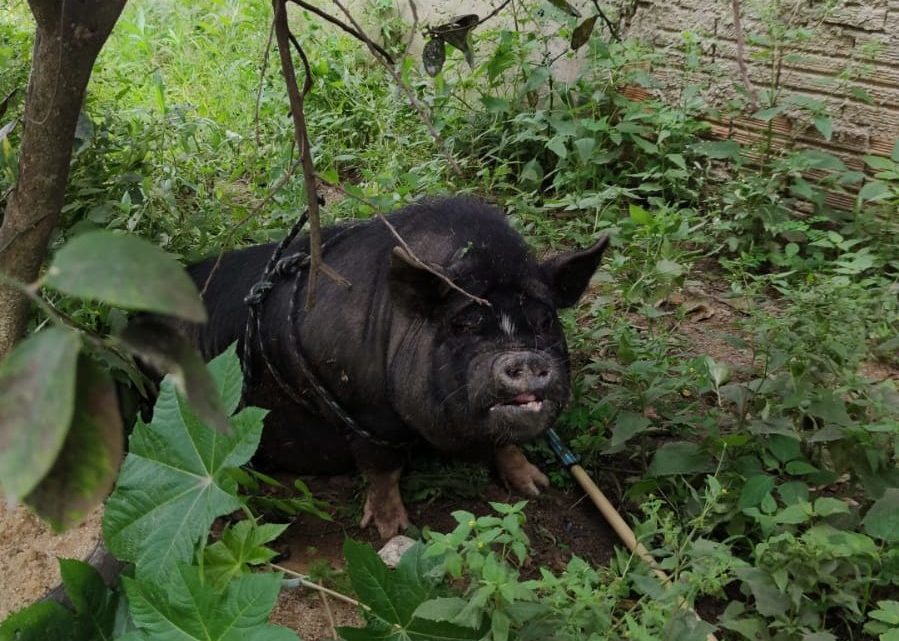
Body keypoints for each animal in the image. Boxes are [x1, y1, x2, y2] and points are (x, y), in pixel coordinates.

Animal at [185, 198, 608, 536]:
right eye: (462, 324)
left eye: (545, 320)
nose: (523, 358)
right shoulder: (364, 411)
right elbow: (382, 468)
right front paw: (393, 531)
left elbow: (504, 443)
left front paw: (536, 486)